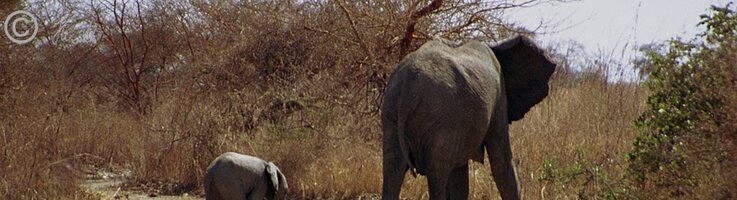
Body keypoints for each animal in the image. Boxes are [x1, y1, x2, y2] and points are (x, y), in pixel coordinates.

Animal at [382, 35, 556, 199]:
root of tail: (408, 86)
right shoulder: (499, 96)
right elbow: (501, 162)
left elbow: (460, 179)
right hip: (441, 117)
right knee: (437, 173)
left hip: (392, 112)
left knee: (393, 167)